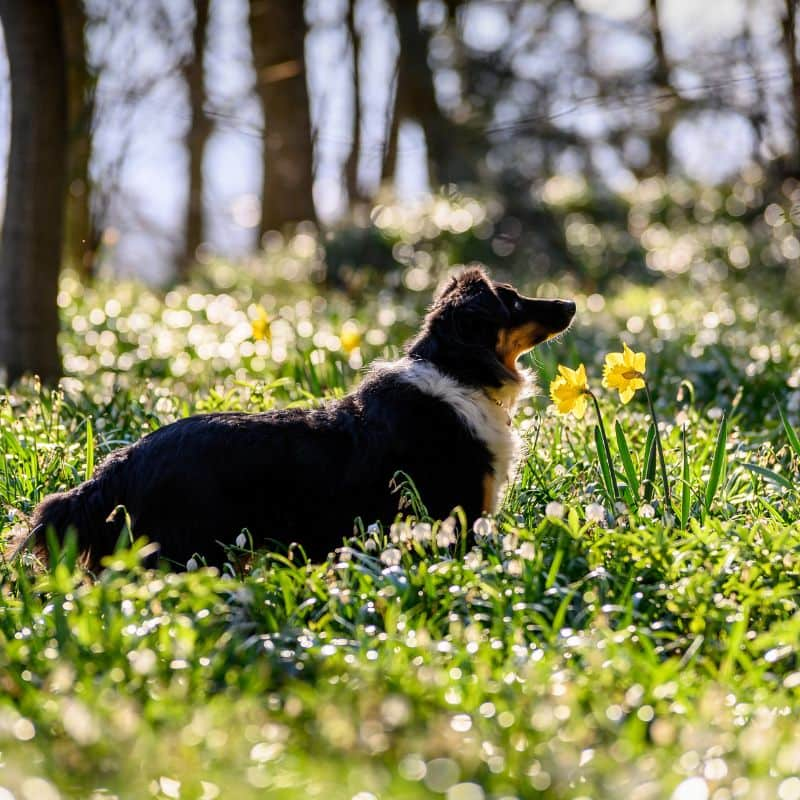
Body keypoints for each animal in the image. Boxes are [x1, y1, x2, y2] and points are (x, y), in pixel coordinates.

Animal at [26, 268, 576, 568]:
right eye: (513, 300)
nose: (571, 302)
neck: (459, 372)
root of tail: (118, 465)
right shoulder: (455, 520)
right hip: (189, 554)